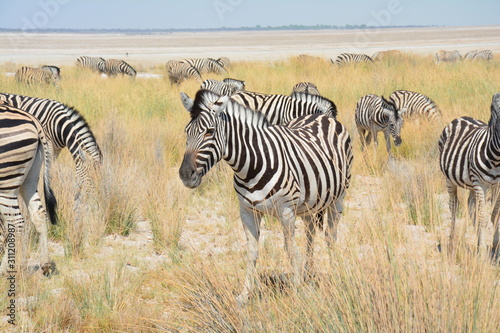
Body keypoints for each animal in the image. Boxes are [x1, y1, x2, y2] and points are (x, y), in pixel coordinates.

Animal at [0, 103, 57, 274]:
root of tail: (33, 120)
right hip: (30, 179)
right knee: (39, 214)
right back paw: (45, 263)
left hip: (5, 186)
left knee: (15, 222)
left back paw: (6, 268)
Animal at [178, 87, 354, 304]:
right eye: (187, 132)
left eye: (209, 132)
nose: (185, 175)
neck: (250, 167)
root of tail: (322, 116)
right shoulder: (247, 211)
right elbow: (252, 252)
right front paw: (244, 295)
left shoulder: (286, 211)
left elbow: (290, 250)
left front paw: (298, 293)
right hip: (309, 202)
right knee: (310, 233)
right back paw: (308, 273)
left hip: (339, 196)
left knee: (330, 236)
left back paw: (334, 272)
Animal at [438, 92, 500, 258]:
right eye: (494, 111)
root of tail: (461, 117)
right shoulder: (480, 184)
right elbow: (483, 217)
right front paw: (483, 252)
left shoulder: (498, 186)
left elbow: (494, 215)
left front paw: (495, 246)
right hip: (450, 179)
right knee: (454, 205)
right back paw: (452, 241)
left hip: (471, 184)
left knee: (471, 205)